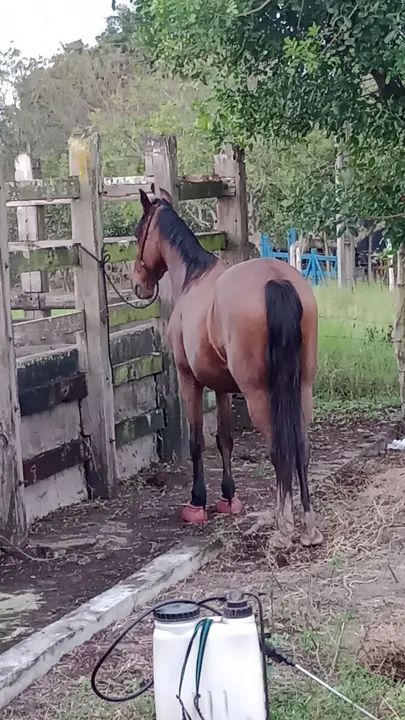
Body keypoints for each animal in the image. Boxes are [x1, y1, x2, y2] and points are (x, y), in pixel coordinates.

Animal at [132, 188, 323, 548]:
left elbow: (196, 442)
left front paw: (197, 503)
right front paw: (228, 498)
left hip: (258, 393)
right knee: (301, 447)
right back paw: (307, 526)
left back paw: (284, 526)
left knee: (278, 449)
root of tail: (276, 280)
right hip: (302, 387)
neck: (194, 276)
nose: (138, 285)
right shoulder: (221, 386)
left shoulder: (189, 379)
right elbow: (225, 439)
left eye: (139, 234)